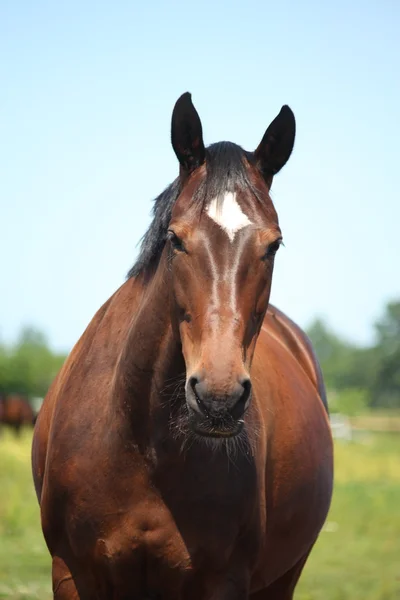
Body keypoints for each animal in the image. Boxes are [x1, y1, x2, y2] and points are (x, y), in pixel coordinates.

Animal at [31, 94, 332, 600]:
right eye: (175, 238)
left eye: (274, 245)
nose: (218, 399)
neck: (144, 444)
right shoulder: (71, 572)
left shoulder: (224, 580)